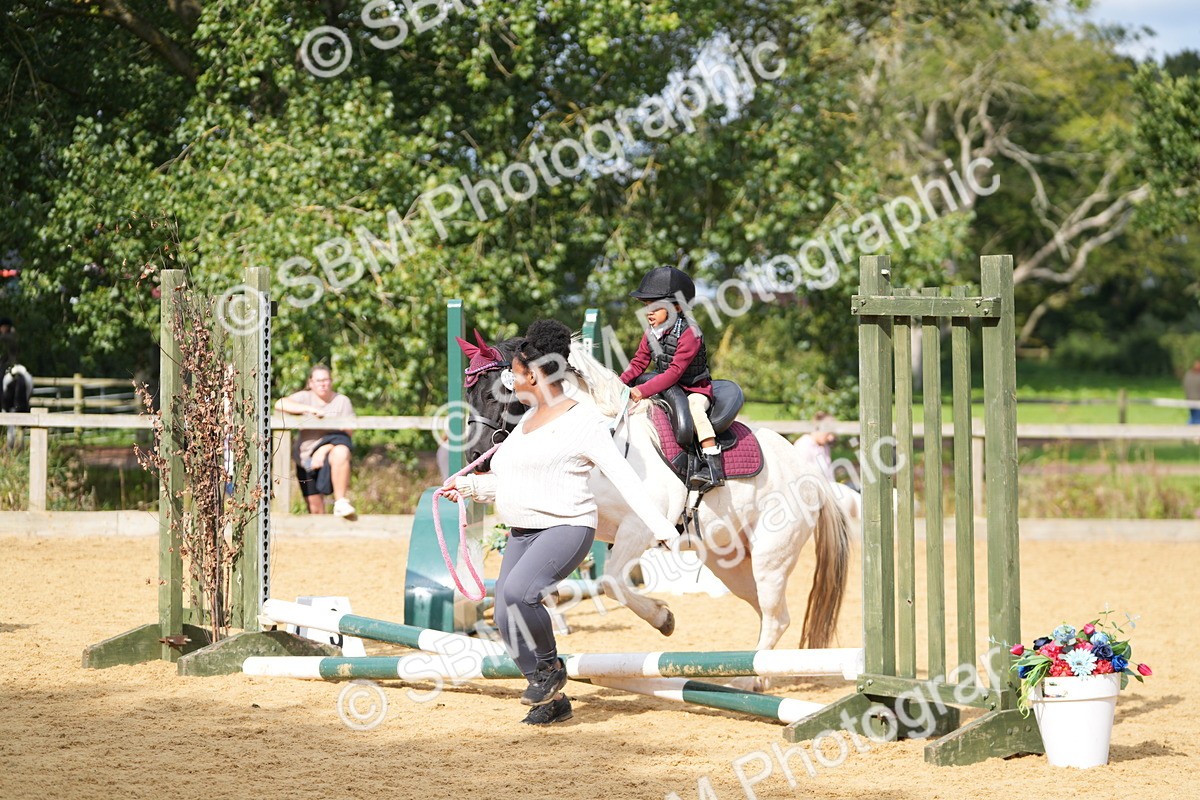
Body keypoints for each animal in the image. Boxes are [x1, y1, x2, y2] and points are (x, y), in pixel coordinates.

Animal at [458, 332, 851, 661]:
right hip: (731, 563)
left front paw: (663, 618)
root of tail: (811, 477)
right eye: (469, 395)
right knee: (765, 612)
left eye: (497, 394)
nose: (475, 455)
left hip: (771, 558)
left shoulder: (637, 529)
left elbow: (612, 582)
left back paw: (756, 681)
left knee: (776, 617)